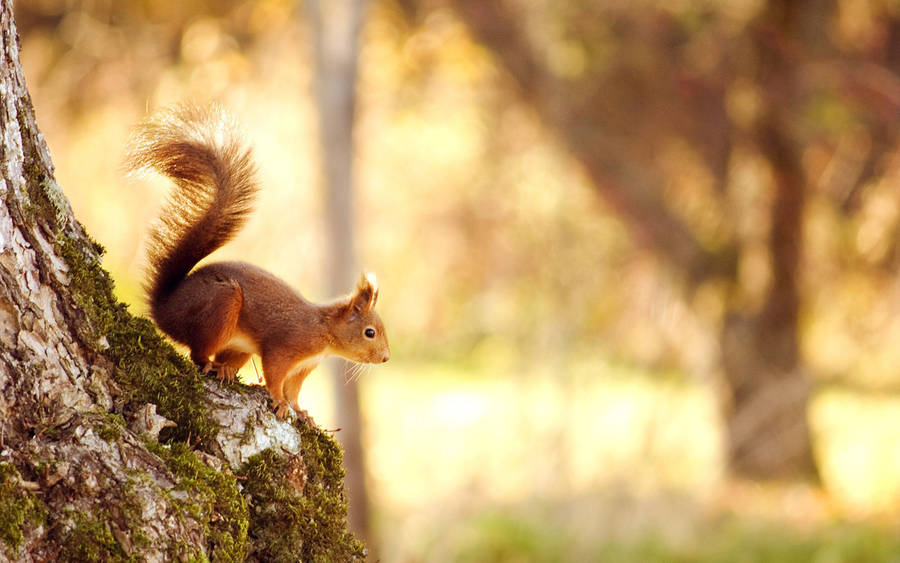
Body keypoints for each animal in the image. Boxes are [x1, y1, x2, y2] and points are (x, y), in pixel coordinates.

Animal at [128, 105, 390, 420]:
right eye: (369, 332)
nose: (386, 358)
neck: (323, 330)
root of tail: (165, 309)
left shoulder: (304, 367)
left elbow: (294, 390)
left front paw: (301, 411)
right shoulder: (286, 347)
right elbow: (275, 375)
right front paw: (279, 401)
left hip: (239, 345)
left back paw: (226, 369)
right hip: (221, 306)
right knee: (197, 352)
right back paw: (211, 364)